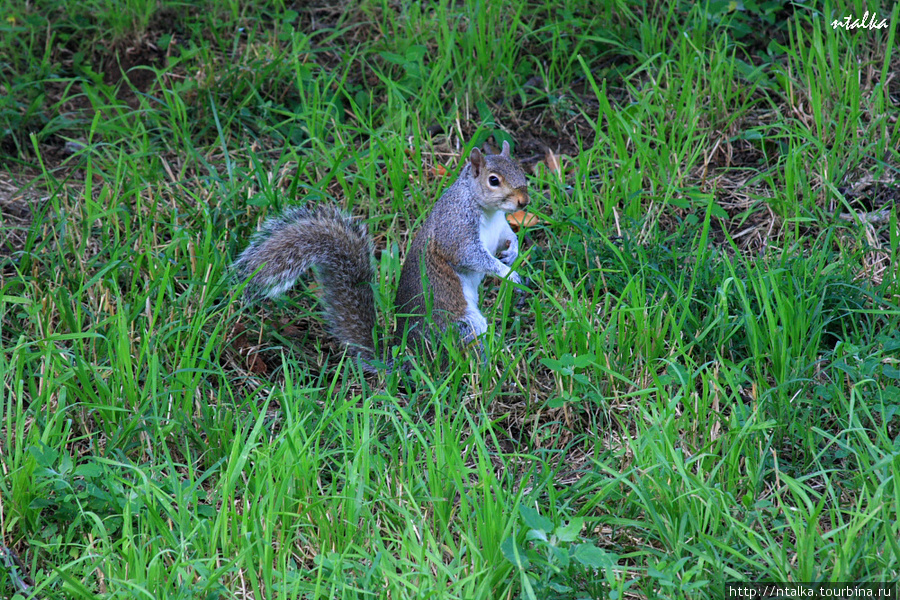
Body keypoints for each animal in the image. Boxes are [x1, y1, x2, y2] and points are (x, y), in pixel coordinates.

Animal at [232, 142, 532, 370]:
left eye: (521, 170)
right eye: (493, 180)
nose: (524, 202)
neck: (487, 211)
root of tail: (407, 355)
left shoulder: (500, 229)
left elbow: (508, 239)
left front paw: (512, 254)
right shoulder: (455, 229)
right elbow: (470, 256)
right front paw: (508, 273)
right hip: (458, 325)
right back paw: (490, 363)